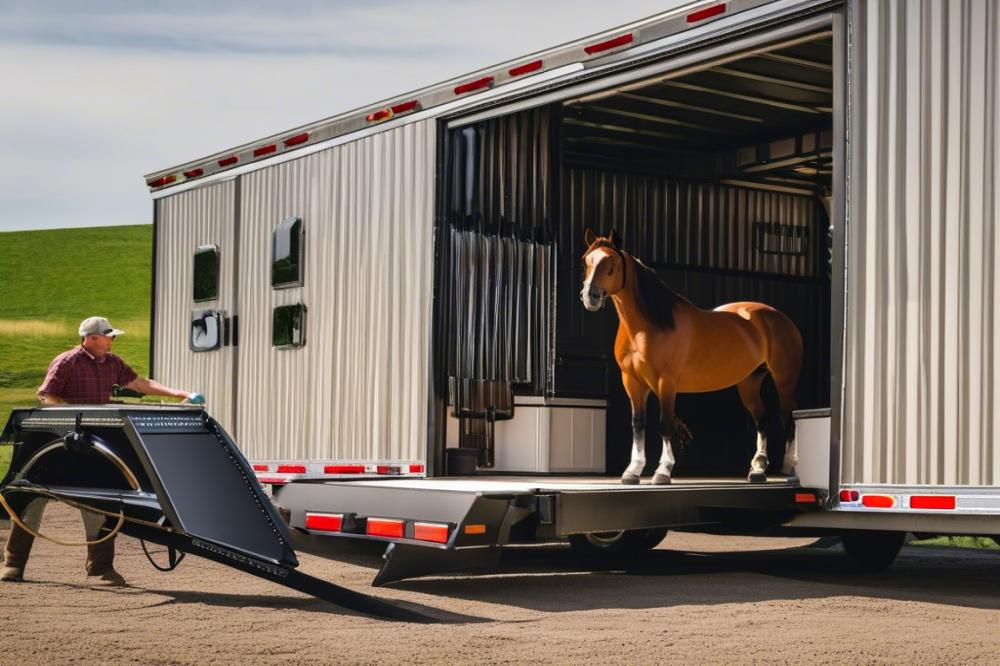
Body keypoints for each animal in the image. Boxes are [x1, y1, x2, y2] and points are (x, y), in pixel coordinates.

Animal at [580, 230, 804, 482]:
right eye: (587, 261)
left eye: (613, 265)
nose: (590, 296)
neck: (649, 324)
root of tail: (780, 319)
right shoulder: (632, 381)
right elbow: (638, 424)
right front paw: (632, 471)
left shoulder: (666, 382)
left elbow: (665, 424)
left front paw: (663, 471)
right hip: (750, 382)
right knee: (761, 419)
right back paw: (758, 469)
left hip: (785, 378)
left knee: (789, 416)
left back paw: (791, 467)